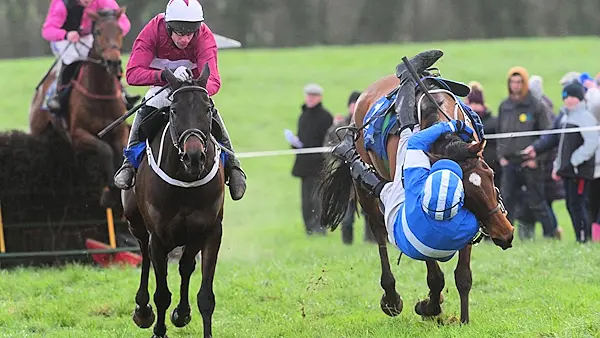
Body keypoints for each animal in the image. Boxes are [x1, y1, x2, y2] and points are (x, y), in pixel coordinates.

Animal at [28, 7, 129, 207]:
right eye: (98, 32)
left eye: (120, 30)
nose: (113, 63)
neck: (101, 92)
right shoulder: (77, 135)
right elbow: (105, 150)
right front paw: (109, 191)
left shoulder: (120, 131)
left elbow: (121, 152)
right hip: (39, 132)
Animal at [123, 64, 226, 338]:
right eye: (174, 111)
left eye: (208, 109)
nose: (194, 157)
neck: (185, 183)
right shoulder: (158, 237)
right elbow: (161, 294)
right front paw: (158, 328)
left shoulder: (210, 231)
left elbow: (205, 296)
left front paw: (186, 314)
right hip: (136, 222)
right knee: (144, 255)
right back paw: (143, 310)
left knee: (185, 266)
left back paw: (182, 313)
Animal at [318, 51, 516, 324]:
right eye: (467, 195)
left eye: (491, 174)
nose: (504, 233)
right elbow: (434, 274)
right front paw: (430, 306)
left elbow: (463, 275)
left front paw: (463, 319)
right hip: (367, 194)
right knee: (379, 232)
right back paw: (391, 298)